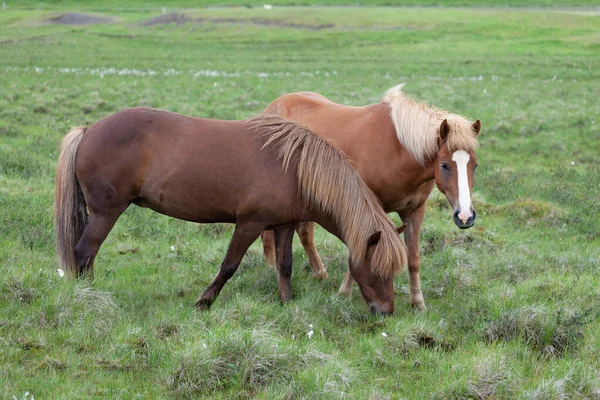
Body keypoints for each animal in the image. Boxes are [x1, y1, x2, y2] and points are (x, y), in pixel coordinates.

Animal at [55, 108, 408, 314]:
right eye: (378, 271)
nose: (386, 312)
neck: (294, 167)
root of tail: (87, 131)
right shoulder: (249, 224)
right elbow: (229, 266)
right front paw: (204, 302)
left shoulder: (284, 225)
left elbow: (285, 266)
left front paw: (286, 304)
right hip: (106, 212)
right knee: (83, 252)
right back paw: (88, 297)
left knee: (86, 254)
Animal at [260, 83, 480, 310]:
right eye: (444, 165)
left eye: (474, 165)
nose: (465, 216)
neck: (398, 151)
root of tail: (273, 106)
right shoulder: (367, 210)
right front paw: (345, 293)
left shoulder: (415, 211)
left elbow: (413, 259)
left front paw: (418, 303)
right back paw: (271, 267)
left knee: (304, 232)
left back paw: (319, 273)